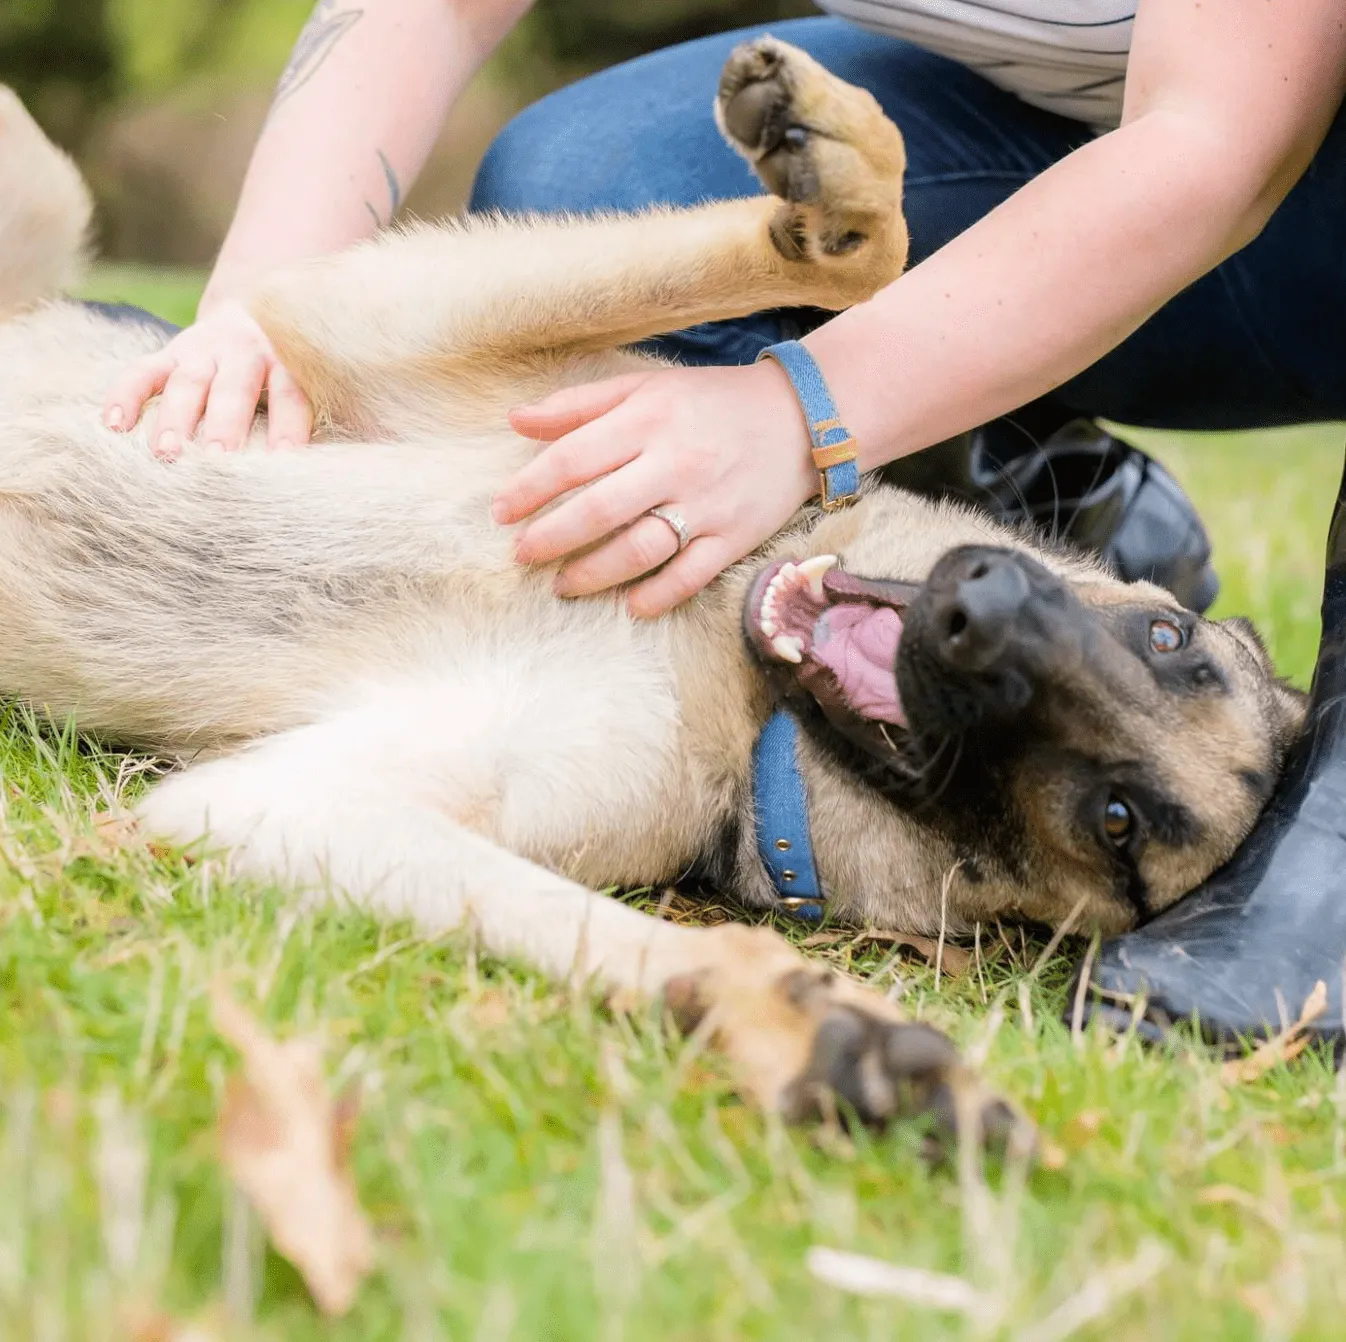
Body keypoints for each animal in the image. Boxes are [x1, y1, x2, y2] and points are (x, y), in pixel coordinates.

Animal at [0, 39, 1302, 1130]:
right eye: (1166, 636)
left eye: (1115, 823)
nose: (974, 618)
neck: (720, 661)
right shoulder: (369, 323)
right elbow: (873, 258)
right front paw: (830, 181)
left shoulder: (273, 807)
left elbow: (612, 933)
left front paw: (796, 1022)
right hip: (48, 183)